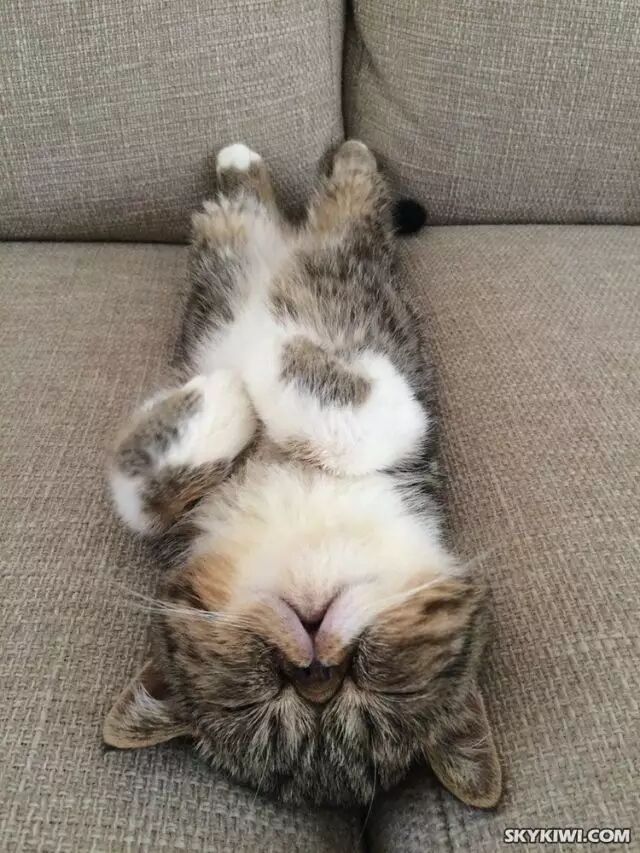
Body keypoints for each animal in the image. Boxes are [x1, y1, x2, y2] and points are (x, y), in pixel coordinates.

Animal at [103, 140, 501, 809]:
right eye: (263, 689)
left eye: (369, 684)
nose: (315, 666)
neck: (305, 514)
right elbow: (141, 498)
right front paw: (226, 402)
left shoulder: (409, 429)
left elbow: (345, 418)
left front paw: (261, 369)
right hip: (223, 260)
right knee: (263, 206)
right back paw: (247, 161)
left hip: (340, 238)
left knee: (348, 194)